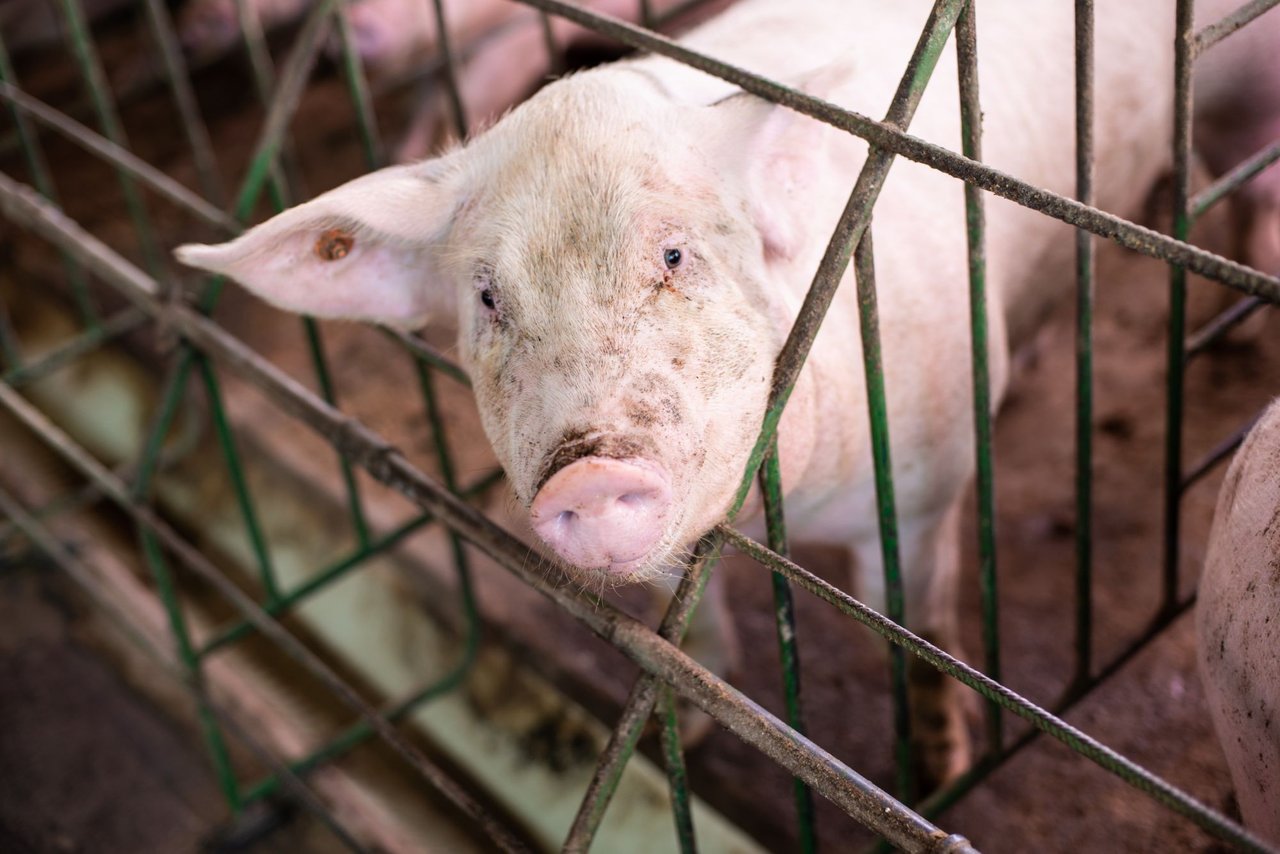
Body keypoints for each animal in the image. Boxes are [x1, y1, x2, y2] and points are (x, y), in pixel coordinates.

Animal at [175, 0, 1280, 793]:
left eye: (674, 256)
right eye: (487, 297)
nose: (586, 472)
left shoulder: (926, 481)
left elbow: (914, 628)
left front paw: (935, 772)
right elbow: (691, 639)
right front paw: (694, 745)